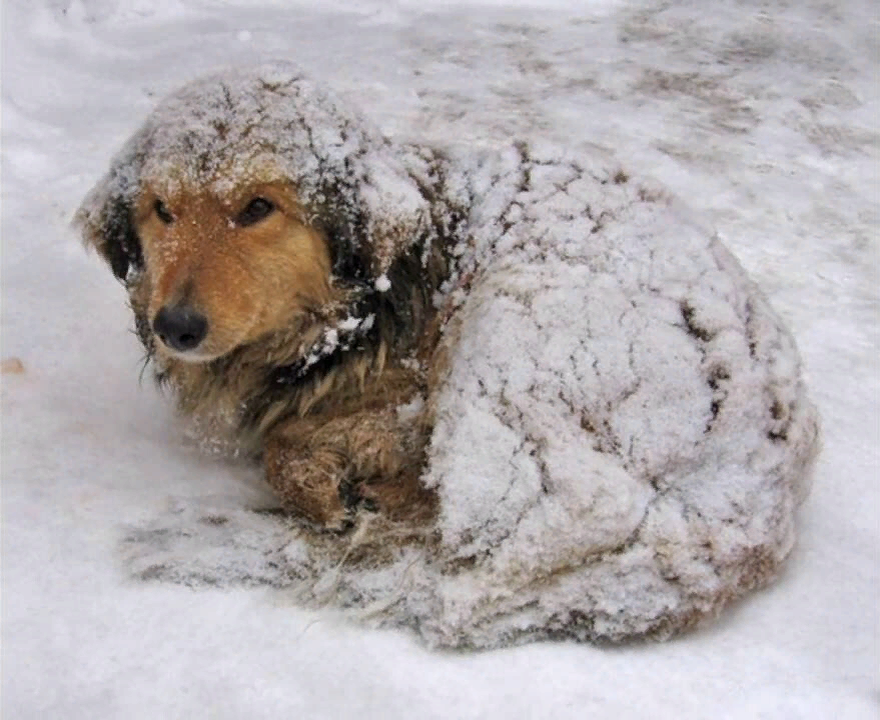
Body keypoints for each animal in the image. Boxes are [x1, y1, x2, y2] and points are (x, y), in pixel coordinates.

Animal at [75, 64, 460, 532]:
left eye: (258, 208)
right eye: (162, 210)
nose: (175, 328)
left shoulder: (407, 399)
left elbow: (289, 442)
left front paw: (333, 490)